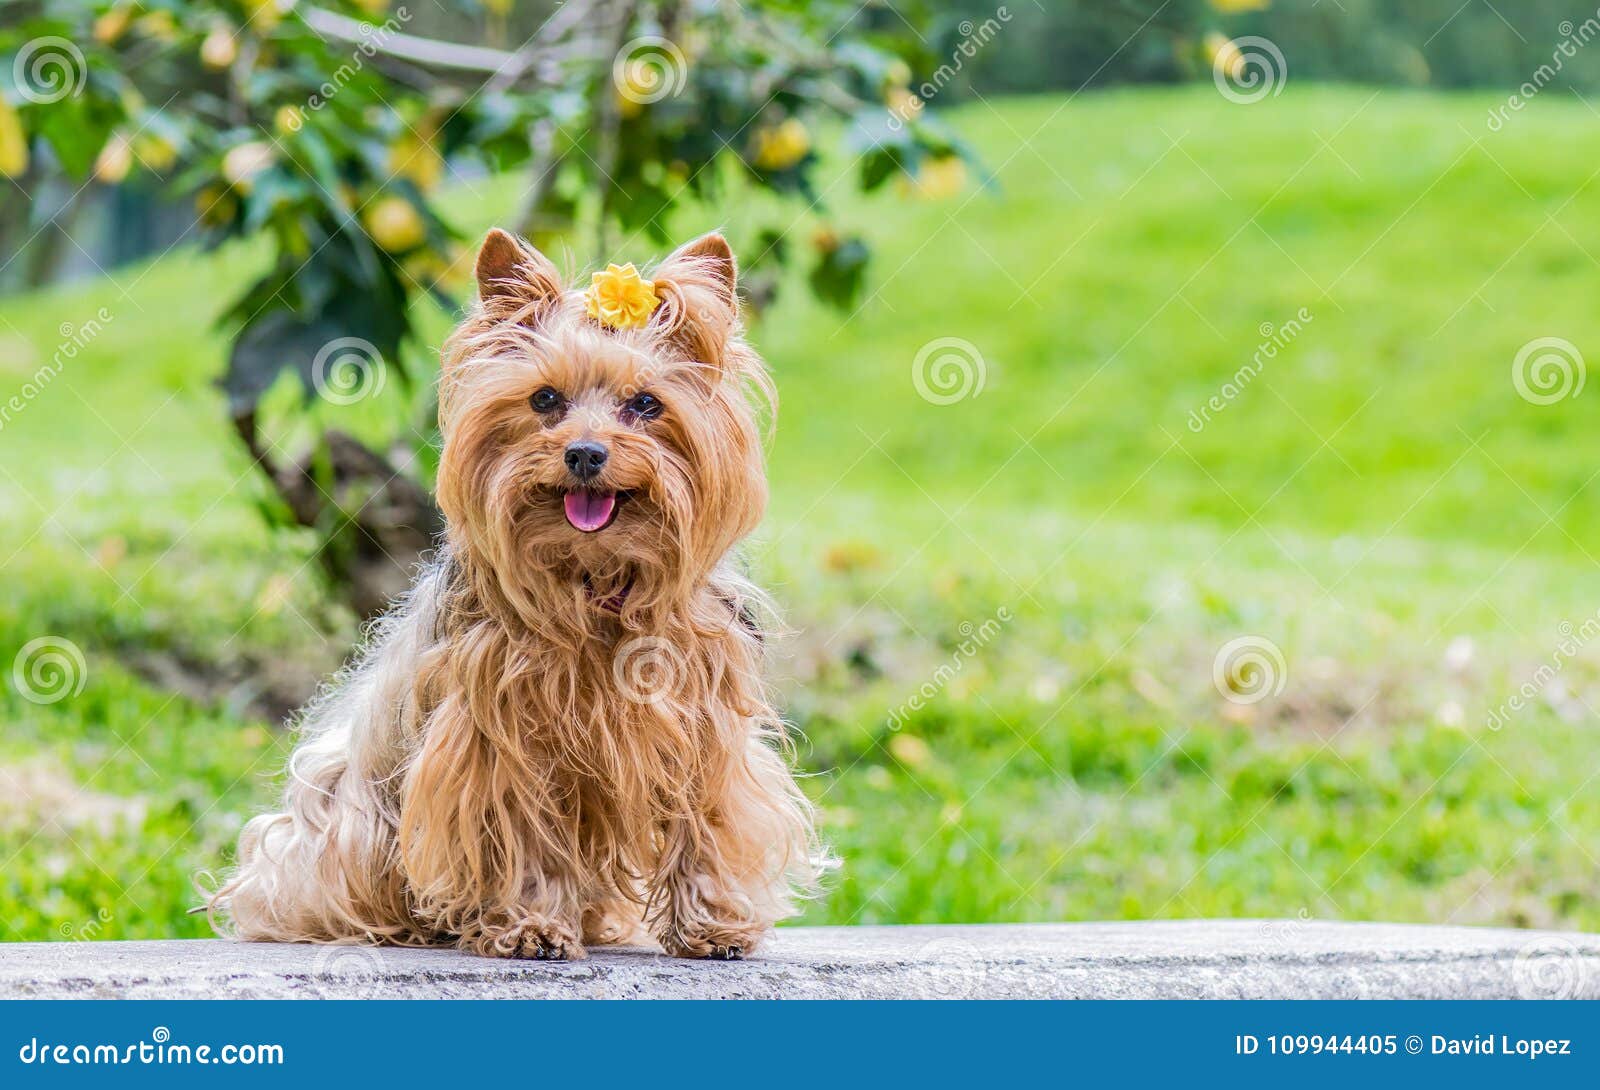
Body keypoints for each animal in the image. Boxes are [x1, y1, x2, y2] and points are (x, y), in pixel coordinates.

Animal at [209, 227, 812, 953]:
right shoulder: (502, 739)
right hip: (344, 819)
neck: (596, 579)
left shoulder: (704, 720)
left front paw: (714, 923)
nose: (584, 453)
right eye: (545, 400)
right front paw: (531, 925)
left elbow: (707, 819)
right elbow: (523, 834)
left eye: (645, 404)